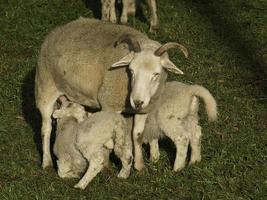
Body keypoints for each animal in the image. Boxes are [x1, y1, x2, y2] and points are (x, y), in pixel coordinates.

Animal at [35, 17, 188, 170]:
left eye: (156, 74)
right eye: (131, 70)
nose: (137, 102)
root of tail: (58, 30)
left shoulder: (144, 109)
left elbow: (137, 135)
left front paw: (139, 166)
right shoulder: (109, 105)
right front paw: (106, 165)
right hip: (45, 89)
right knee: (45, 129)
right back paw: (47, 161)